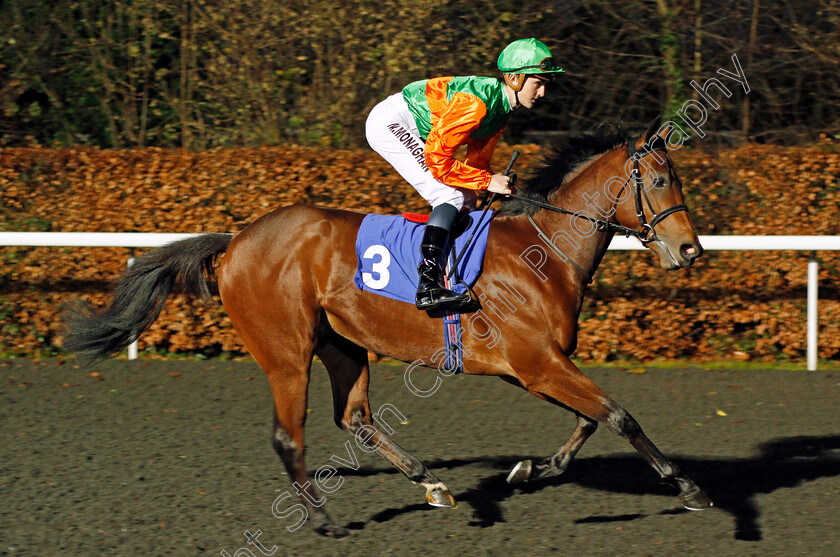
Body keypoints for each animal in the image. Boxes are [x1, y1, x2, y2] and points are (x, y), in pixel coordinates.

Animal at [62, 118, 712, 540]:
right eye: (660, 181)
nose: (691, 251)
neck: (545, 252)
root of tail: (237, 240)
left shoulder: (535, 367)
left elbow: (590, 419)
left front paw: (532, 470)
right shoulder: (536, 363)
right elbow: (619, 416)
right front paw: (687, 488)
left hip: (343, 343)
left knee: (355, 417)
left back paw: (432, 484)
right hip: (287, 353)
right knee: (289, 436)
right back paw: (323, 520)